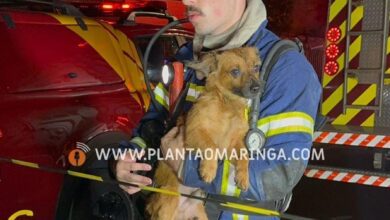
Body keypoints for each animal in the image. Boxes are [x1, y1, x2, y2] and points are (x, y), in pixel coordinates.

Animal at [146, 47, 262, 219]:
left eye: (256, 68)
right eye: (235, 71)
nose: (257, 88)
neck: (227, 104)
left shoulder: (232, 145)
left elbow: (244, 156)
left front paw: (243, 177)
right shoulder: (194, 132)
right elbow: (211, 146)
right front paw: (208, 170)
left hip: (200, 213)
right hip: (168, 201)